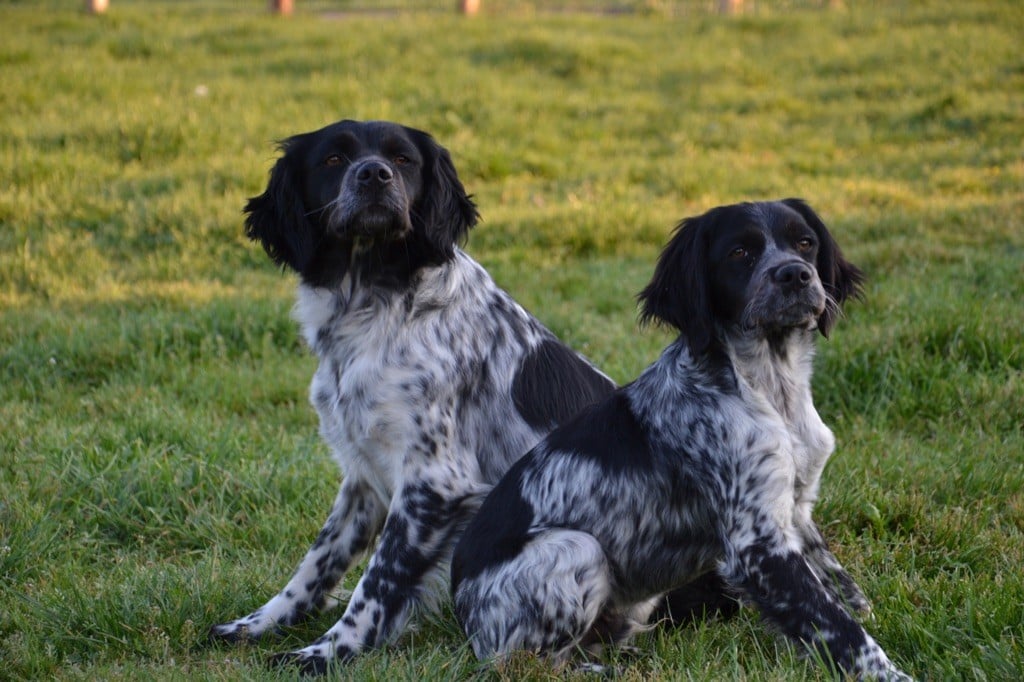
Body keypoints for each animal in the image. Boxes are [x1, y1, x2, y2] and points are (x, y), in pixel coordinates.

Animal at [203, 120, 610, 667]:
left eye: (403, 159)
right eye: (333, 159)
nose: (374, 175)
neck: (374, 303)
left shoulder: (433, 483)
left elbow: (376, 582)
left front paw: (328, 652)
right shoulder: (363, 477)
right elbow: (316, 562)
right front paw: (260, 624)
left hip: (575, 548)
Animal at [454, 199, 913, 675]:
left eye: (805, 243)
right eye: (739, 253)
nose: (794, 274)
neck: (770, 388)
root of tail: (463, 610)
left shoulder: (795, 510)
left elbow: (840, 589)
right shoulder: (757, 543)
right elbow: (839, 629)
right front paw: (892, 673)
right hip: (576, 550)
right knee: (524, 663)